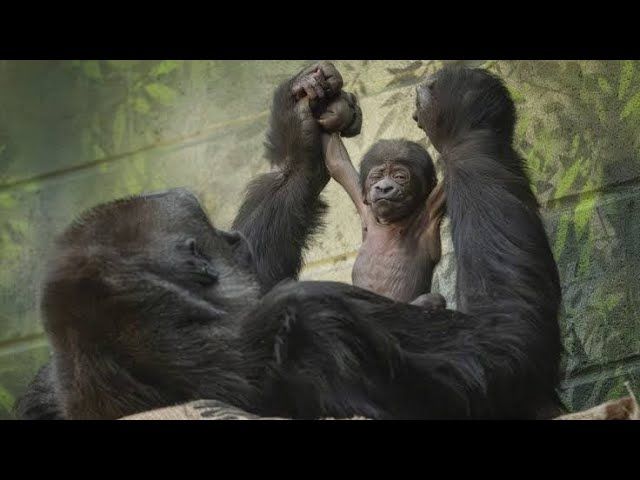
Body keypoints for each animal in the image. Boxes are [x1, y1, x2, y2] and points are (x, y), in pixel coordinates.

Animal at [318, 96, 448, 308]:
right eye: (377, 177)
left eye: (399, 177)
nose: (384, 187)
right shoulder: (364, 206)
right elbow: (337, 162)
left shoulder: (431, 211)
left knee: (434, 298)